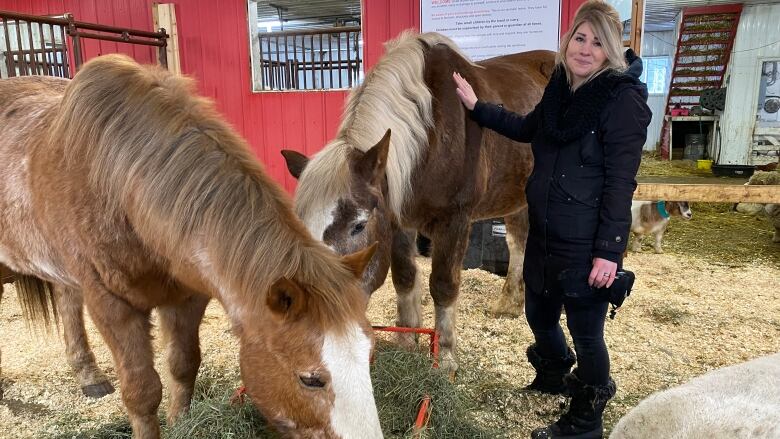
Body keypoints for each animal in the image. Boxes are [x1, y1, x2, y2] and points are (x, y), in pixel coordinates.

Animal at [0, 55, 384, 439]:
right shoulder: (111, 305)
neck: (119, 186)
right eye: (310, 379)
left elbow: (183, 366)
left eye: (369, 355)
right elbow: (141, 392)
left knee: (66, 299)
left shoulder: (187, 296)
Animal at [284, 31, 552, 374]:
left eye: (358, 225)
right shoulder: (398, 220)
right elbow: (405, 277)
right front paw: (407, 339)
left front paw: (446, 357)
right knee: (518, 241)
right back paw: (509, 305)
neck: (432, 136)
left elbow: (443, 284)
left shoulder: (455, 220)